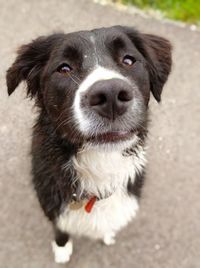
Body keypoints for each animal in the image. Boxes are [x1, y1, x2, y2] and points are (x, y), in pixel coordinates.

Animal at [6, 25, 172, 264]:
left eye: (128, 60)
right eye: (64, 68)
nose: (111, 94)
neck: (101, 162)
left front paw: (107, 233)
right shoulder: (53, 204)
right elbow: (60, 228)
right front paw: (62, 249)